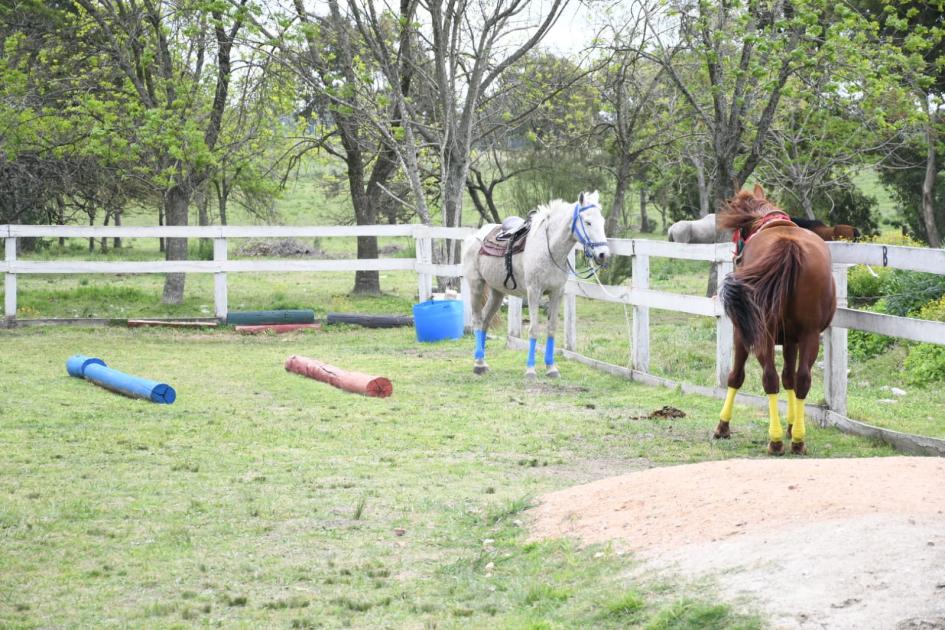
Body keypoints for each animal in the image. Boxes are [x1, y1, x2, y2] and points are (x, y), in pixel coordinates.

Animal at [460, 193, 608, 378]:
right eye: (588, 222)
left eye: (602, 221)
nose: (603, 254)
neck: (548, 249)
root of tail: (475, 236)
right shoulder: (534, 292)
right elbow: (534, 330)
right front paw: (530, 370)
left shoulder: (556, 292)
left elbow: (551, 328)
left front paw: (551, 368)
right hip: (476, 285)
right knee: (478, 321)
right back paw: (479, 364)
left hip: (497, 292)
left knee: (486, 320)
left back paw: (482, 361)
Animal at [712, 185, 836, 456]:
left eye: (738, 232)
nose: (735, 256)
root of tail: (789, 245)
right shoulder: (792, 339)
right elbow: (789, 378)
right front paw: (792, 425)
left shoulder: (741, 333)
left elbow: (736, 376)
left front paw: (723, 426)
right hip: (810, 334)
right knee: (802, 380)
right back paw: (797, 440)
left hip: (762, 333)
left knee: (769, 378)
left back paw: (776, 440)